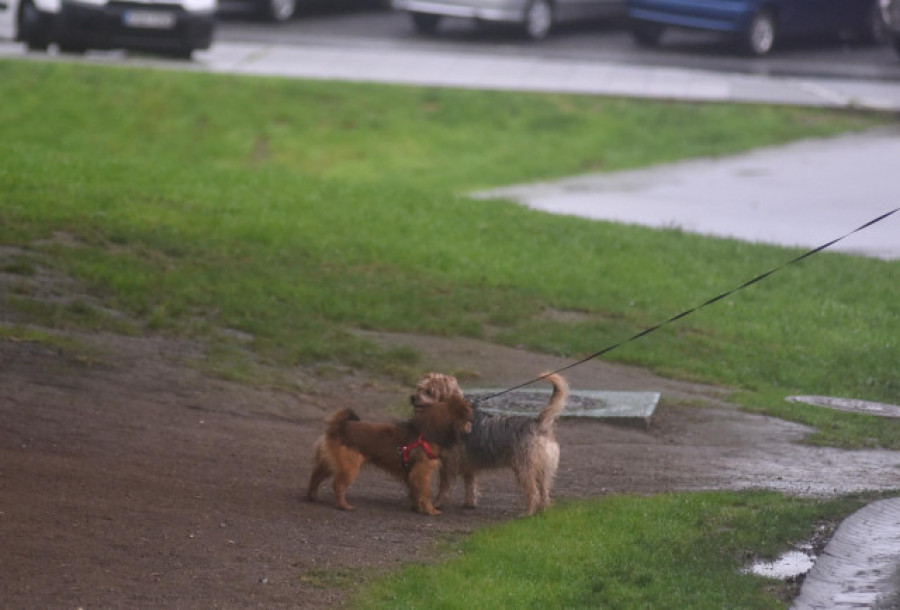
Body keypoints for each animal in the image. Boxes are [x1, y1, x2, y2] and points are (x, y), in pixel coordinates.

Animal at [306, 394, 472, 512]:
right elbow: (425, 493)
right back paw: (344, 505)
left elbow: (415, 492)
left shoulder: (412, 473)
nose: (471, 427)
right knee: (338, 485)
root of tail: (338, 428)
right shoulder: (422, 472)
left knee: (315, 476)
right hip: (350, 467)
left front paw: (416, 508)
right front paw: (430, 510)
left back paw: (312, 496)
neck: (425, 434)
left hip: (330, 463)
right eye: (467, 419)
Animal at [410, 370, 568, 512]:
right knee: (544, 491)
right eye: (418, 388)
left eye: (429, 392)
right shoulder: (468, 465)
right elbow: (470, 484)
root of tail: (539, 422)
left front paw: (437, 503)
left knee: (533, 492)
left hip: (524, 468)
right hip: (543, 469)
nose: (412, 397)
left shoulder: (448, 465)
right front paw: (469, 503)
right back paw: (542, 509)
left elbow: (444, 487)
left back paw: (528, 513)